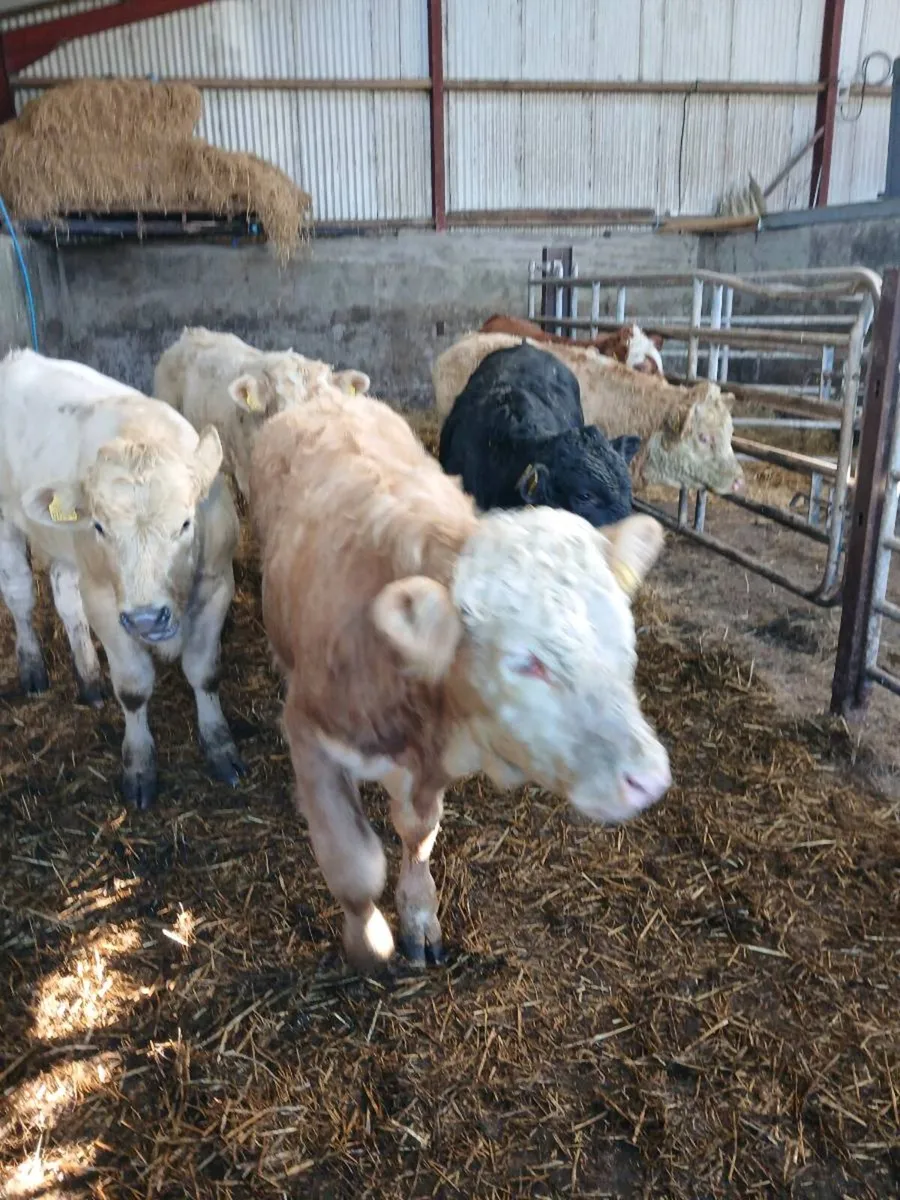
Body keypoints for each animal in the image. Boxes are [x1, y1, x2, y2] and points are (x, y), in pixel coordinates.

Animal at [0, 348, 242, 810]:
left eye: (186, 523)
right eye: (100, 527)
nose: (147, 619)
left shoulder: (217, 585)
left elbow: (204, 672)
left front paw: (220, 747)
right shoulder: (105, 605)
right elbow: (132, 688)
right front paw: (139, 765)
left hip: (68, 550)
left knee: (64, 593)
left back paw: (89, 677)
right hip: (7, 525)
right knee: (20, 594)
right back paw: (33, 667)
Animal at [249, 384, 671, 973]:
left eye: (622, 636)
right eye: (526, 661)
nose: (648, 778)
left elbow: (419, 835)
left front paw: (418, 914)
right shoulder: (310, 731)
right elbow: (354, 864)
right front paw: (367, 944)